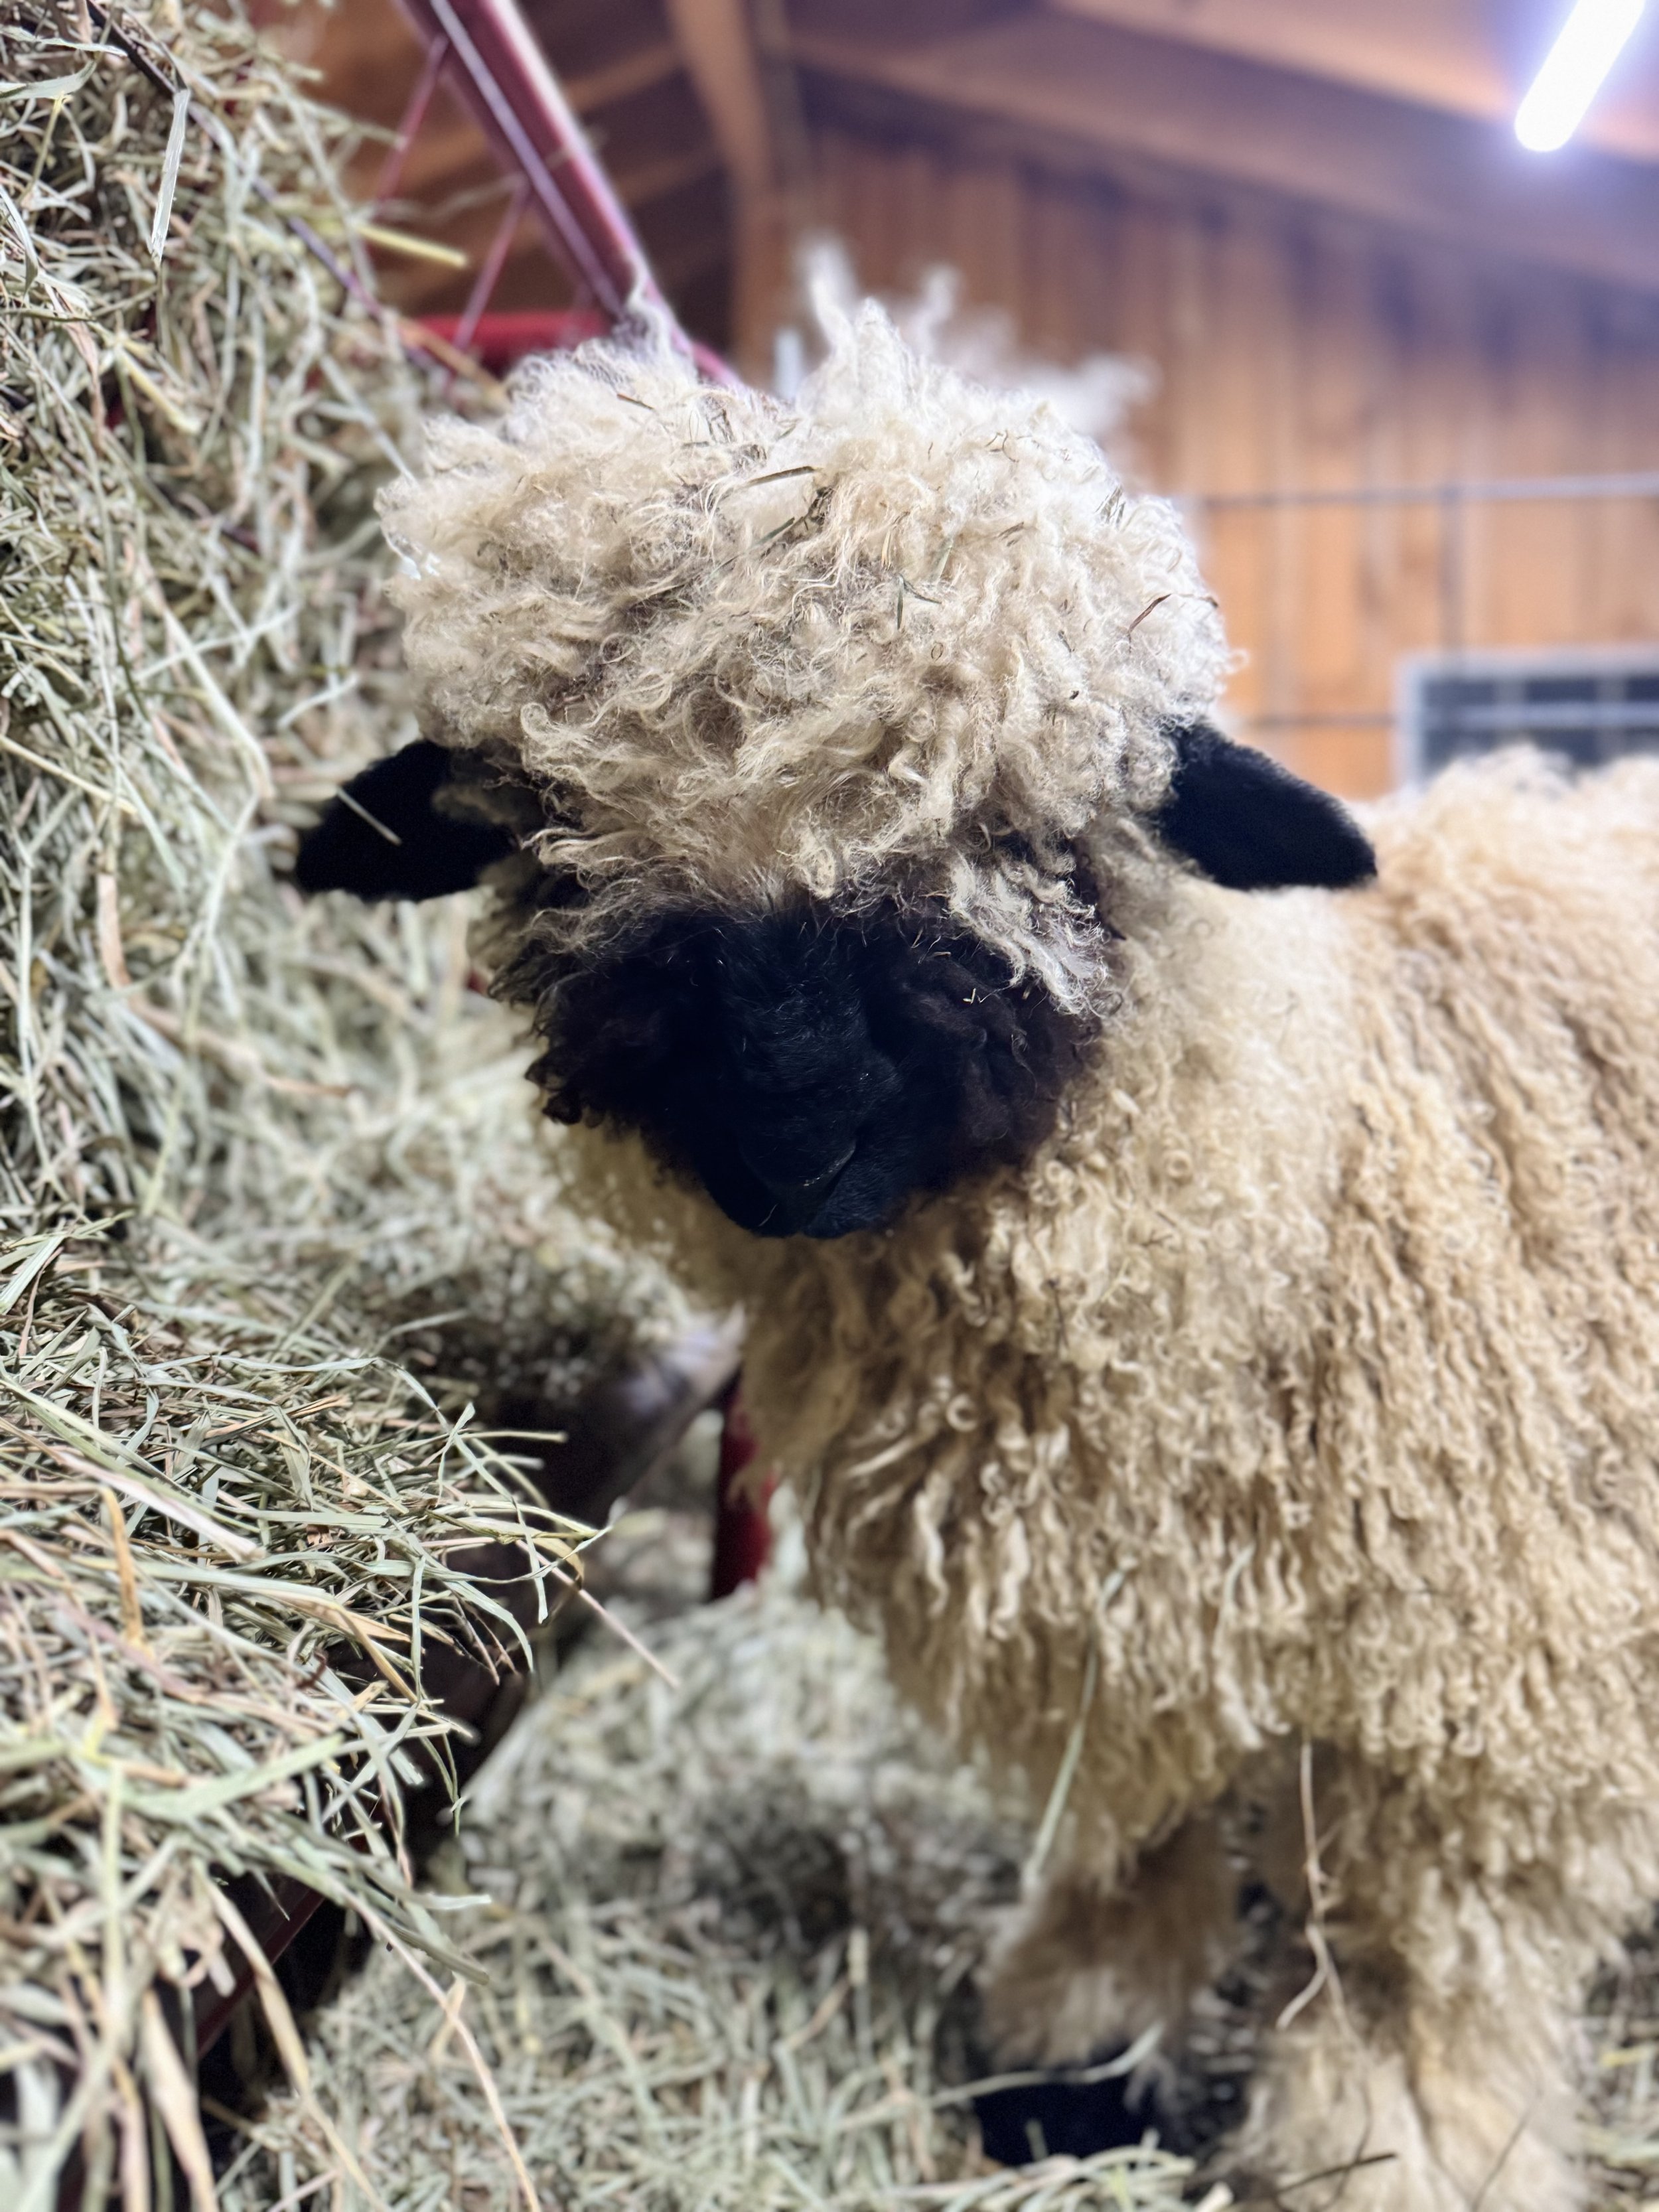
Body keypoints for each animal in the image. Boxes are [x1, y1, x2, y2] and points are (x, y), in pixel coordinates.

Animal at [299, 306, 1659, 2210]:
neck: (1294, 1160)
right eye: (552, 836)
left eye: (1023, 830)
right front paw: (1070, 2061)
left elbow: (1403, 1969)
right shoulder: (1122, 1618)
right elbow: (1129, 1833)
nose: (789, 1136)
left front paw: (1386, 2154)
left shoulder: (1480, 1689)